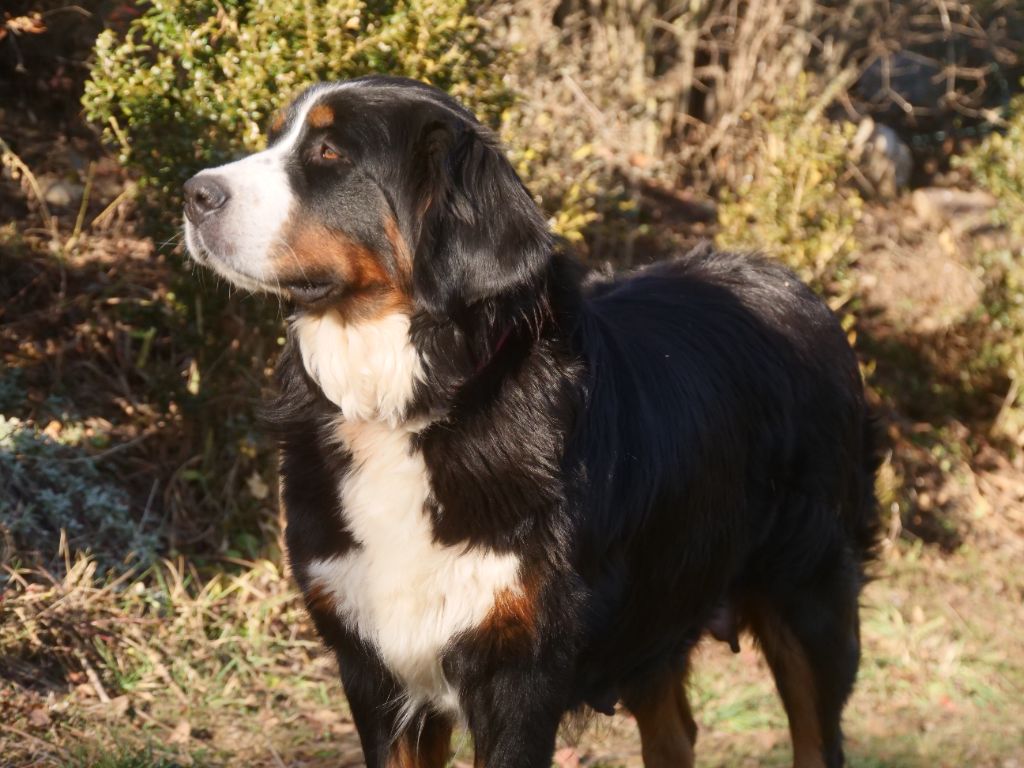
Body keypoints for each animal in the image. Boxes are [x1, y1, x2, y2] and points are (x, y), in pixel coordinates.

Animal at [182, 76, 880, 768]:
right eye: (277, 136)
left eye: (329, 153)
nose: (193, 194)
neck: (413, 404)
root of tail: (793, 282)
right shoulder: (374, 668)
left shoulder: (518, 677)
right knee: (674, 730)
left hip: (809, 598)